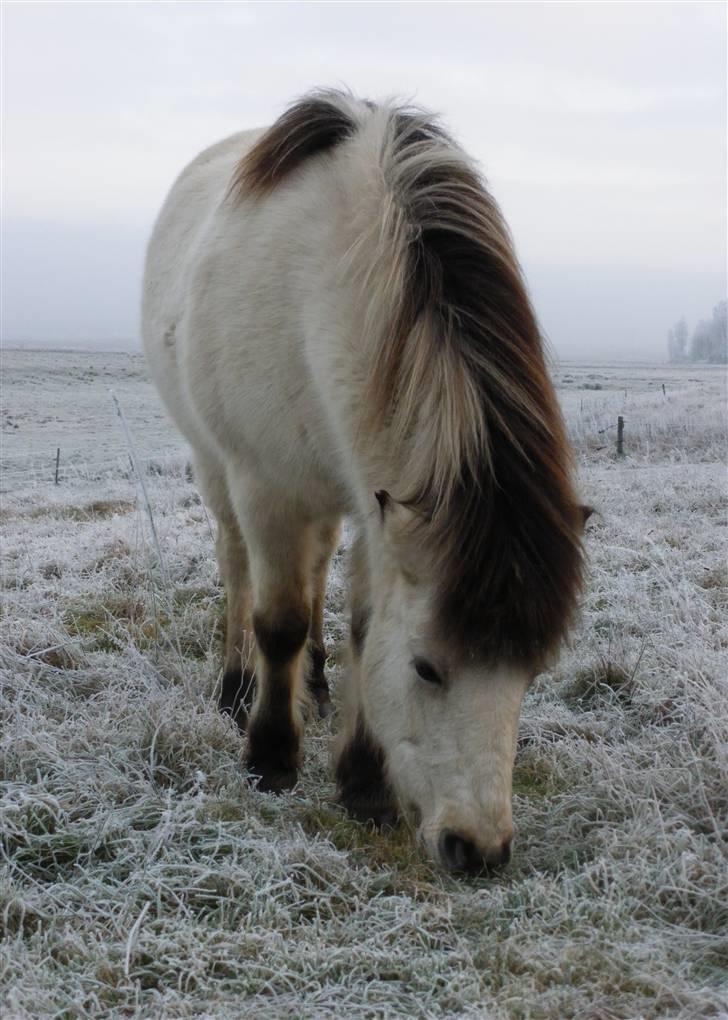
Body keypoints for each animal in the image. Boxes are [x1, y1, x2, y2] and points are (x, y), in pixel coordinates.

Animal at [141, 87, 583, 873]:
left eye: (530, 673)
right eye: (427, 669)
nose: (478, 849)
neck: (321, 287)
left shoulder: (379, 506)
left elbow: (363, 625)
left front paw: (363, 781)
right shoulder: (266, 487)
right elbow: (279, 620)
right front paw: (271, 756)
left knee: (316, 571)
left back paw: (316, 686)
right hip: (219, 470)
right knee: (237, 569)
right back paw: (236, 688)